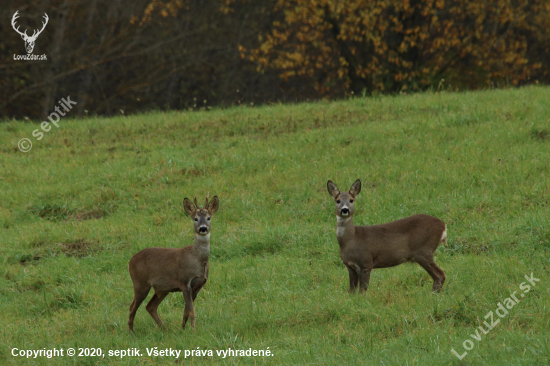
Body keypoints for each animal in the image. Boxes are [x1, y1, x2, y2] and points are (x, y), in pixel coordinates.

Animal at [129, 194, 220, 332]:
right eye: (195, 218)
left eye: (209, 218)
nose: (203, 228)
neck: (198, 259)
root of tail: (130, 261)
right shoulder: (184, 281)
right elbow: (191, 311)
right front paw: (193, 331)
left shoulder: (199, 285)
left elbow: (186, 311)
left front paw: (182, 329)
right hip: (140, 283)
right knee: (132, 306)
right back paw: (131, 332)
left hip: (162, 288)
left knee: (150, 306)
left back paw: (165, 329)